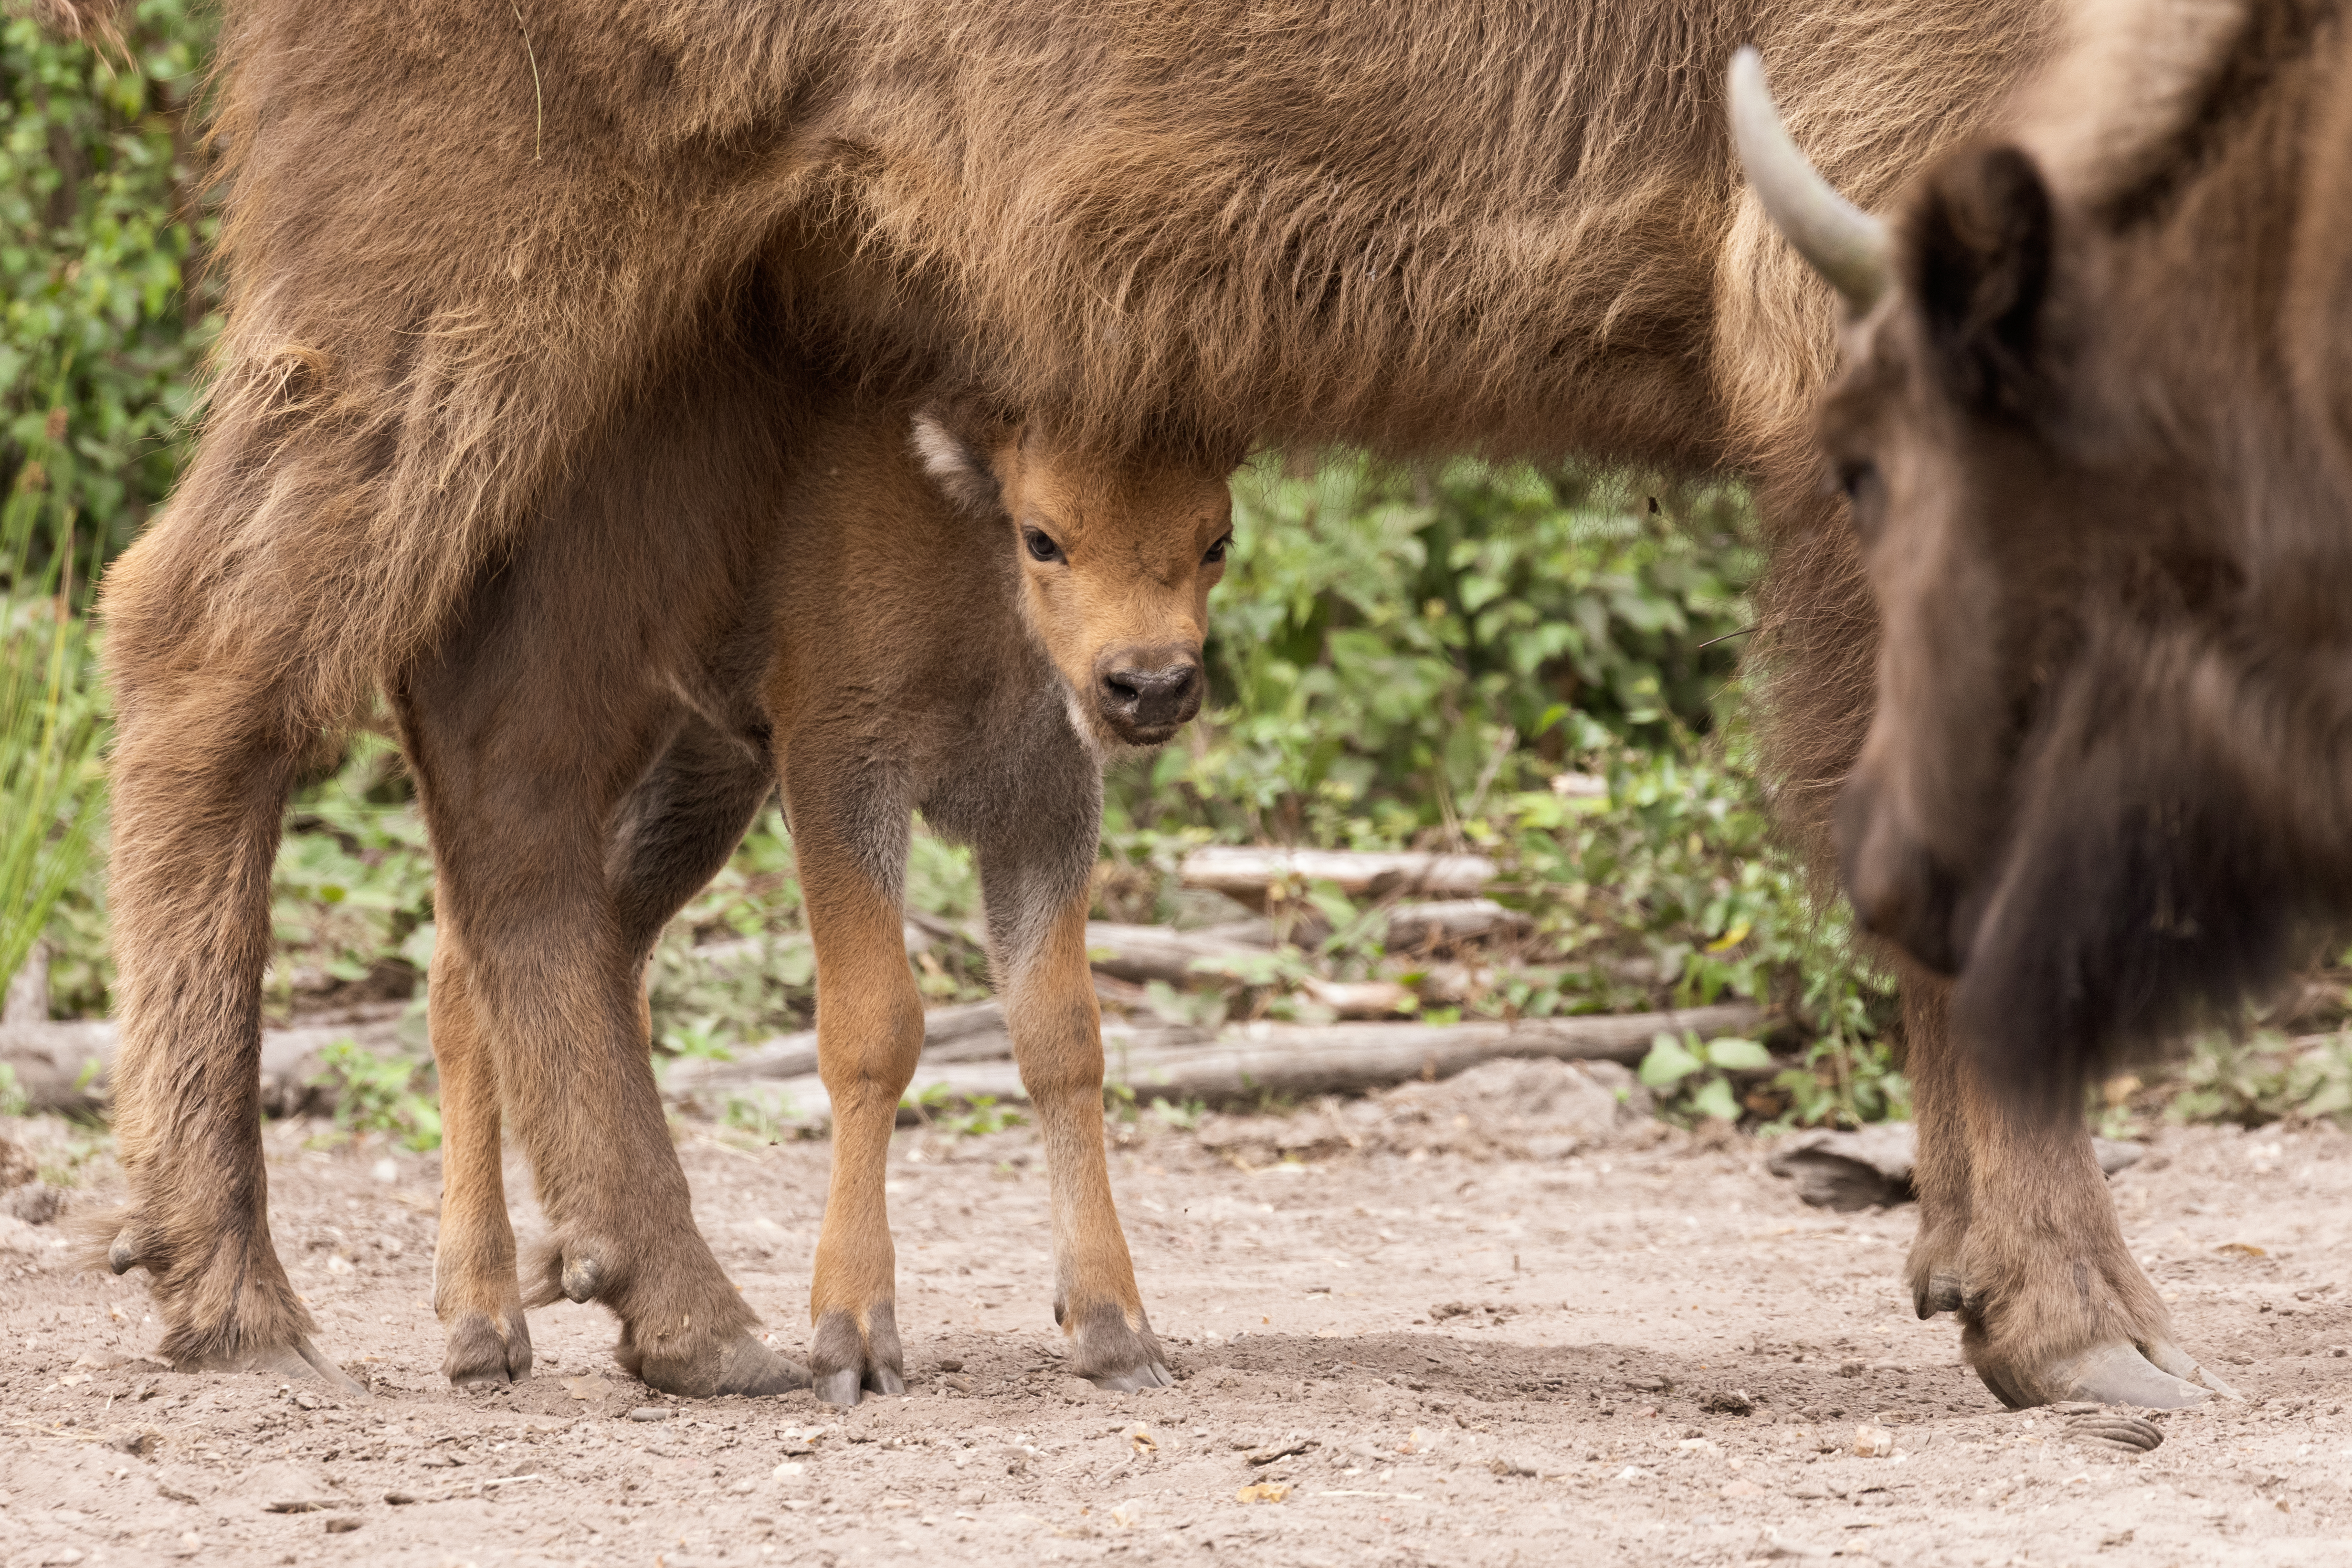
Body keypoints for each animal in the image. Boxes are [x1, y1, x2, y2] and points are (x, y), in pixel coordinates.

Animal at [55, 0, 2212, 1410]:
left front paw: (1989, 1280)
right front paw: (2083, 1326)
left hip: (687, 343)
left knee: (498, 756)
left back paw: (679, 1318)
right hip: (461, 265)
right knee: (207, 639)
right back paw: (239, 1296)